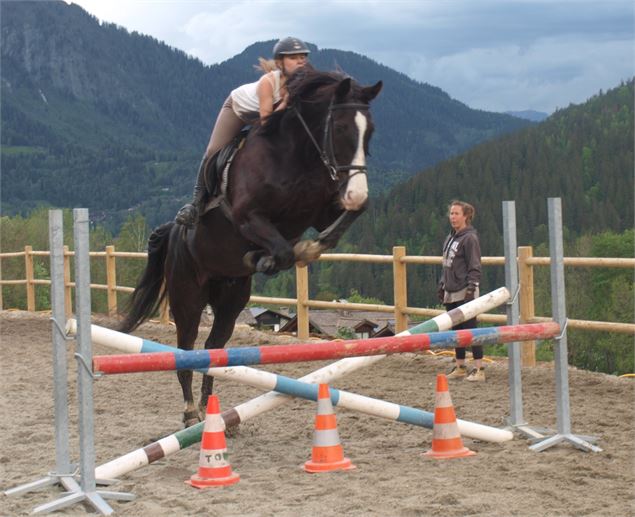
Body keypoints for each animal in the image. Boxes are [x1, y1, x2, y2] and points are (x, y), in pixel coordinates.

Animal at [119, 66, 382, 426]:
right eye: (340, 128)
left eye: (370, 131)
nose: (356, 191)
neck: (296, 155)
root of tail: (174, 233)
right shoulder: (248, 216)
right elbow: (282, 250)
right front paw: (271, 258)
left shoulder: (322, 211)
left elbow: (343, 221)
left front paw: (302, 249)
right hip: (188, 298)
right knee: (186, 350)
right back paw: (190, 413)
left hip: (230, 300)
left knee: (214, 347)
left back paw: (211, 411)